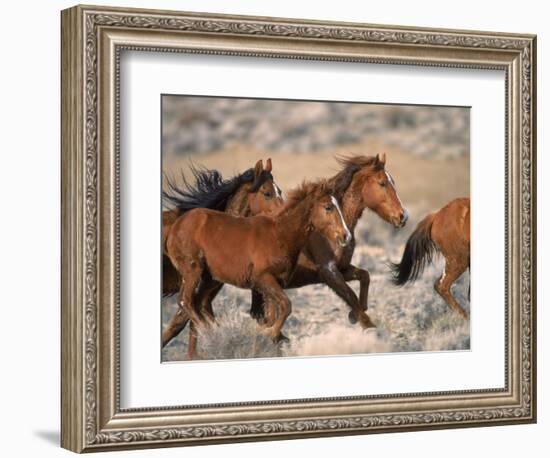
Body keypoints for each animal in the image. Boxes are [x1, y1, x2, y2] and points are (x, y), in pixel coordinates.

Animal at [165, 180, 354, 358]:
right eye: (328, 207)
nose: (346, 236)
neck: (279, 235)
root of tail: (175, 227)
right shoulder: (263, 279)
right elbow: (286, 305)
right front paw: (267, 333)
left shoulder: (274, 285)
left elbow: (274, 314)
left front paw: (272, 337)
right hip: (193, 271)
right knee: (185, 301)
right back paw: (214, 332)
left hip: (209, 278)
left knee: (197, 304)